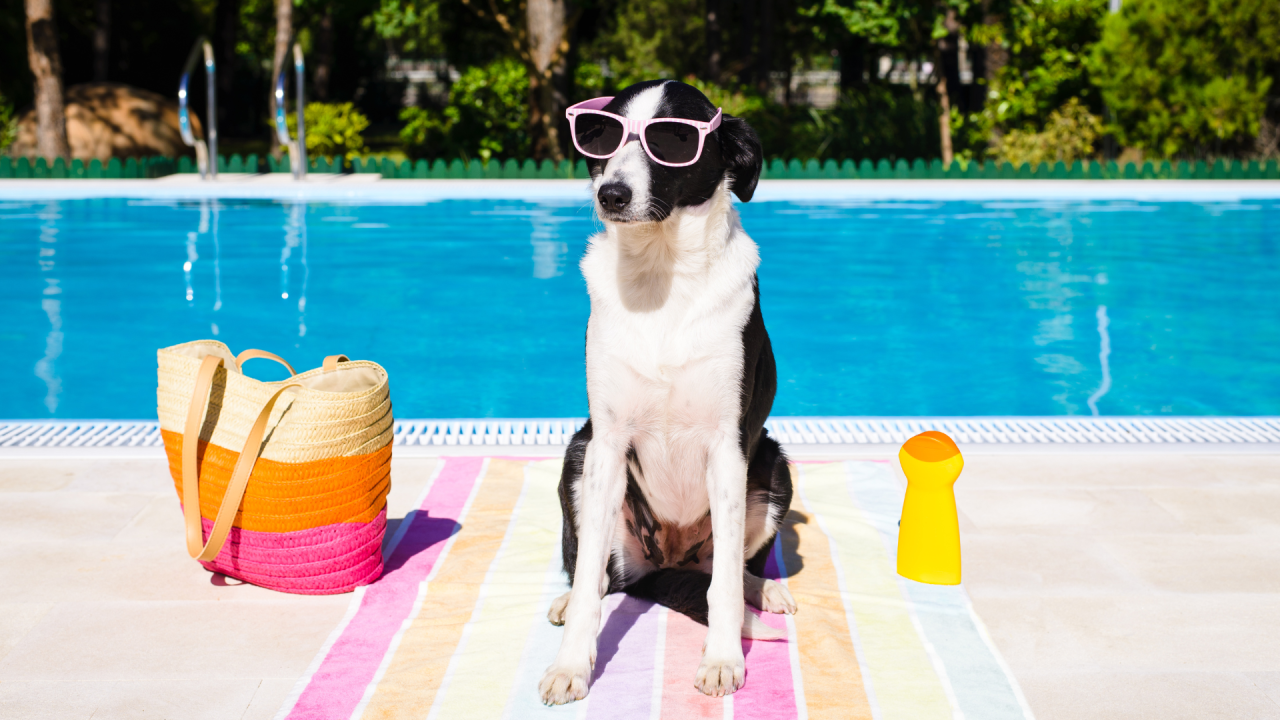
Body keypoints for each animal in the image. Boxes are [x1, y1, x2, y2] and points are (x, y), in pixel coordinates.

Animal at [535, 77, 793, 702]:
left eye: (673, 139)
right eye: (601, 136)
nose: (612, 194)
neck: (661, 275)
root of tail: (665, 562)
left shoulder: (728, 448)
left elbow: (723, 587)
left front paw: (723, 658)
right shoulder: (605, 444)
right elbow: (588, 583)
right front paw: (570, 666)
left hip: (774, 468)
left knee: (723, 570)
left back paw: (762, 590)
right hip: (577, 455)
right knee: (601, 575)